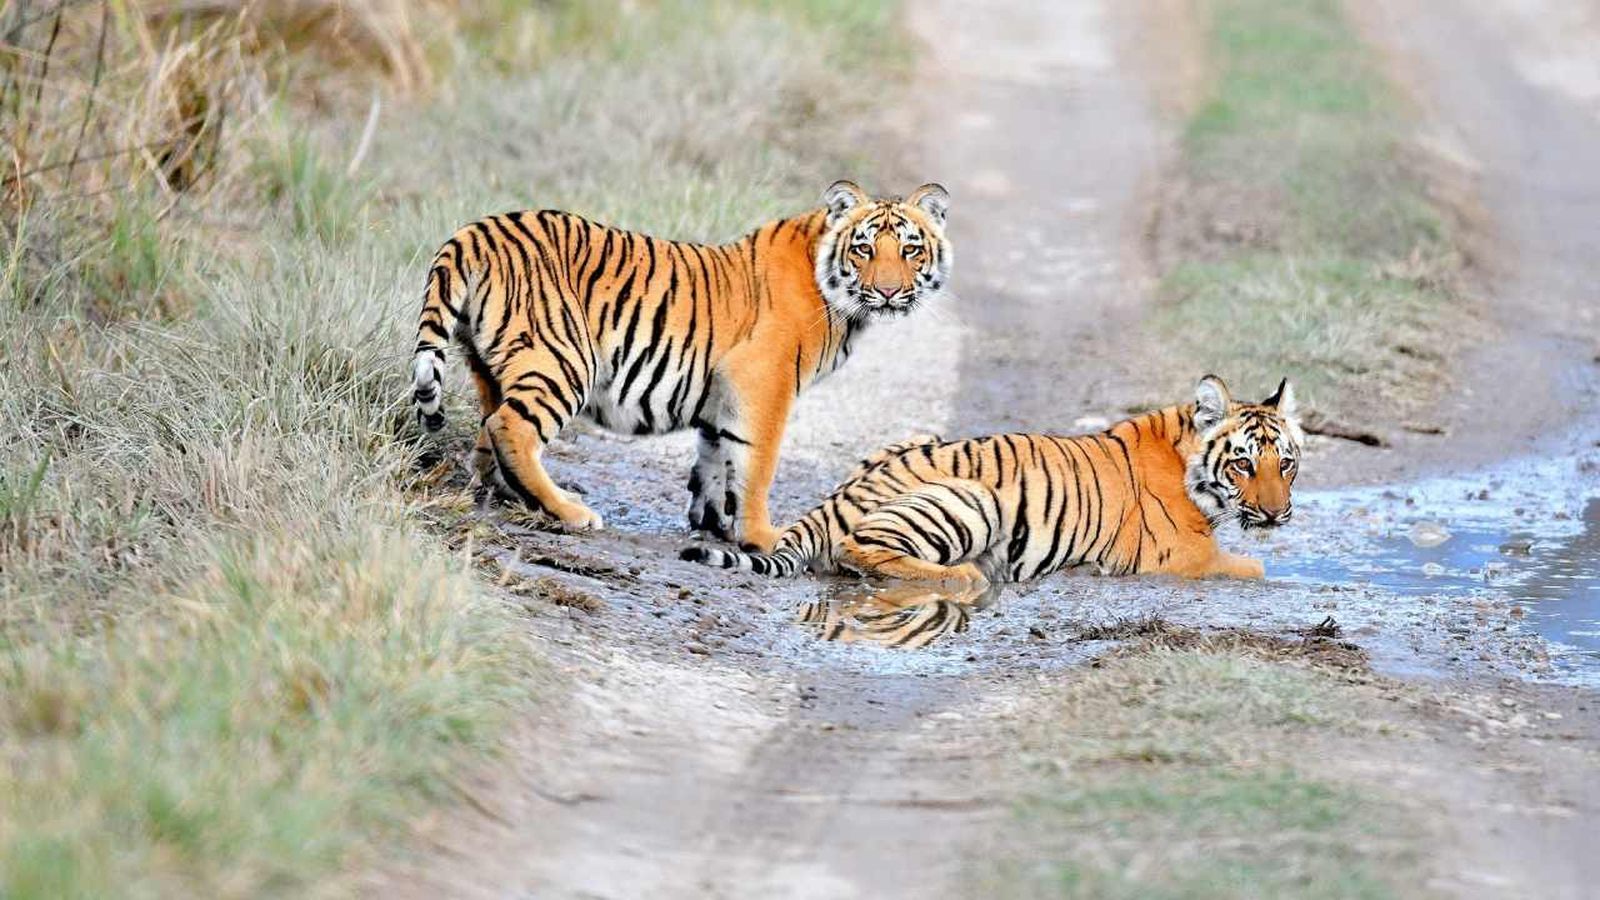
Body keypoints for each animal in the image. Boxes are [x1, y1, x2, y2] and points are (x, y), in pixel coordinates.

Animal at [410, 180, 952, 551]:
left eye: (910, 249)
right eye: (864, 249)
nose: (888, 291)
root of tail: (476, 230)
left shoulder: (722, 392)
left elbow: (715, 457)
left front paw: (713, 522)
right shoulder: (762, 382)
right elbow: (758, 464)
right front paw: (762, 536)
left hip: (490, 365)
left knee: (489, 429)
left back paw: (503, 493)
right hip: (564, 360)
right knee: (512, 429)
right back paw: (569, 510)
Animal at [681, 375, 1302, 586]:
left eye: (1287, 464)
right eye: (1243, 464)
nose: (1277, 514)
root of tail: (831, 502)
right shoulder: (1184, 556)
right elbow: (1254, 568)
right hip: (973, 497)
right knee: (861, 550)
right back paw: (965, 576)